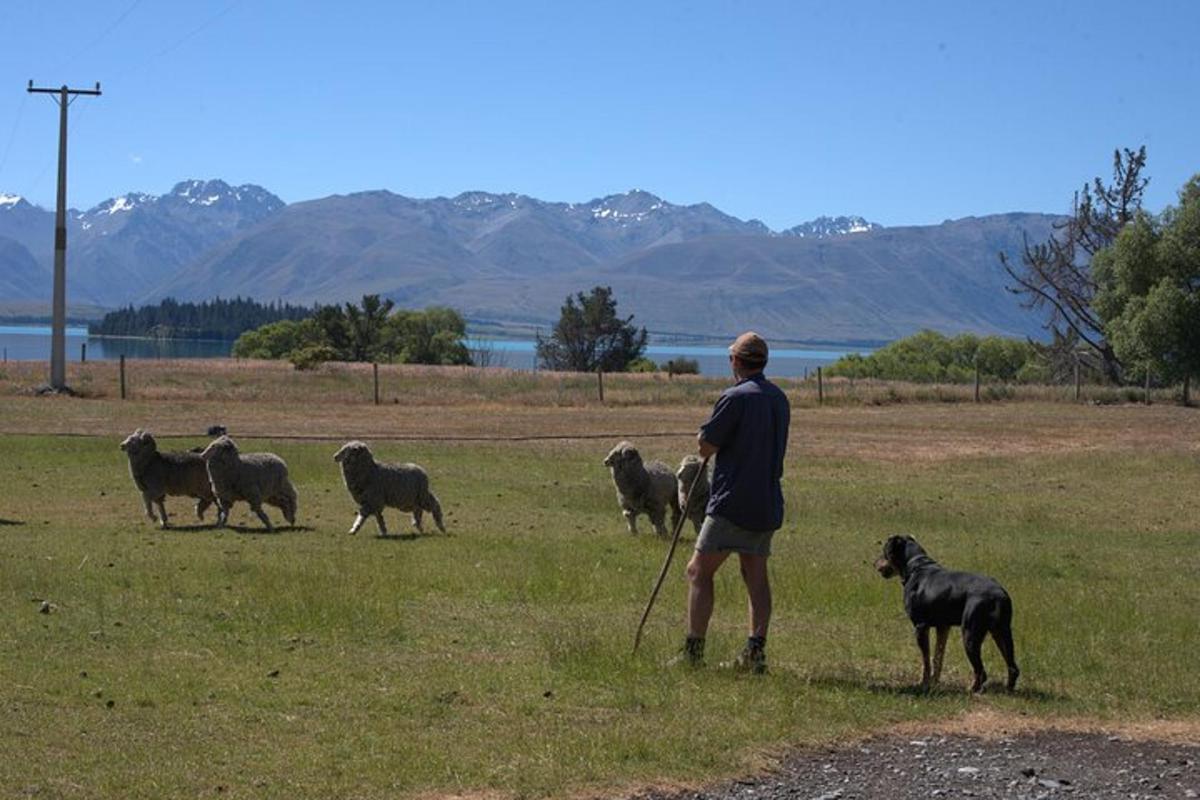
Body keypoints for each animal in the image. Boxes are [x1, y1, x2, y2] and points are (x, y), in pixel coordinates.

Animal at [878, 537, 1017, 695]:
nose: (875, 563)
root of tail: (999, 594)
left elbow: (926, 659)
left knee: (981, 671)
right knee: (1013, 667)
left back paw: (972, 689)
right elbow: (938, 657)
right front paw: (935, 682)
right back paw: (1008, 690)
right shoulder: (943, 627)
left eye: (884, 552)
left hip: (970, 634)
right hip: (1001, 632)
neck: (916, 567)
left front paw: (923, 683)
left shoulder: (920, 626)